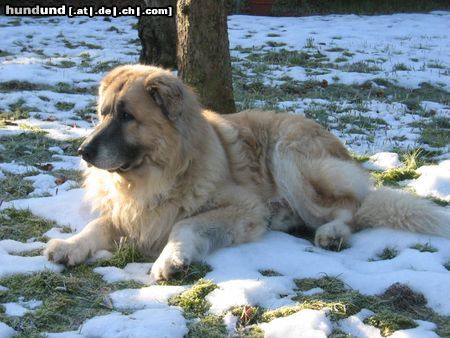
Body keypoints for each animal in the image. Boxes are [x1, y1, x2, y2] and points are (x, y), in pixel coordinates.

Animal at [44, 64, 448, 282]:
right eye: (103, 114)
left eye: (127, 116)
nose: (83, 152)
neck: (159, 174)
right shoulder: (131, 212)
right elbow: (99, 225)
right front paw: (70, 245)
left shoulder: (244, 208)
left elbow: (184, 224)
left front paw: (169, 260)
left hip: (288, 154)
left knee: (351, 207)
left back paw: (331, 233)